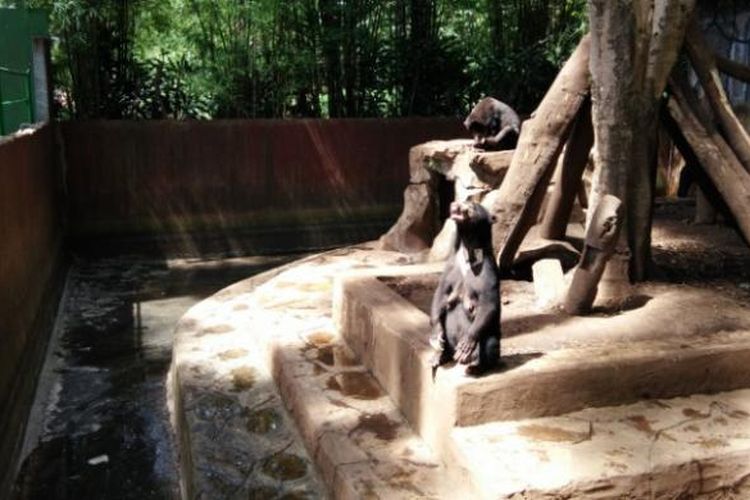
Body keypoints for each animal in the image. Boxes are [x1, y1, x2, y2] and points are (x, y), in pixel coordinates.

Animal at [432, 201, 502, 374]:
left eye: (471, 207)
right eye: (463, 202)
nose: (456, 204)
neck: (468, 256)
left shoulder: (487, 271)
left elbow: (489, 303)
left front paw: (466, 346)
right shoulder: (450, 267)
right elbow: (440, 294)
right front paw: (437, 334)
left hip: (492, 339)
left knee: (490, 345)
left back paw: (474, 366)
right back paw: (439, 357)